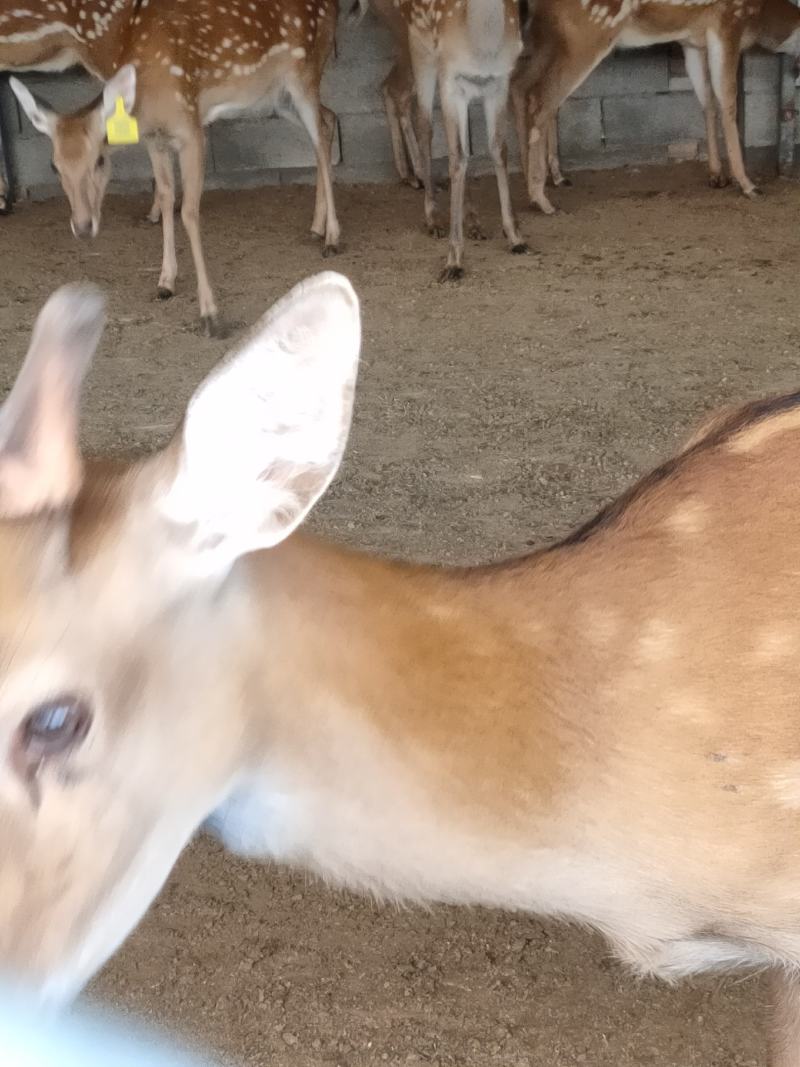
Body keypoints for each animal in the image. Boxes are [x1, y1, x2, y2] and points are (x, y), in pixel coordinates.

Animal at [7, 1, 341, 336]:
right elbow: (167, 196)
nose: (83, 226)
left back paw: (332, 237)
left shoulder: (191, 129)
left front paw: (209, 313)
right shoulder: (154, 140)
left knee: (321, 131)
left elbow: (189, 212)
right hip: (275, 97)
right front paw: (165, 281)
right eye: (54, 166)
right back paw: (317, 226)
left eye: (99, 160)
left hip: (305, 74)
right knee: (326, 122)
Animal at [356, 0, 528, 280]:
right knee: (424, 125)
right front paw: (453, 261)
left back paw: (473, 220)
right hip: (419, 49)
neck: (483, 46)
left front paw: (515, 237)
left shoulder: (500, 81)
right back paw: (433, 217)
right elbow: (456, 157)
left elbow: (497, 150)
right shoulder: (451, 79)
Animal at [511, 0, 800, 217]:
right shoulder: (728, 22)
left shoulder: (692, 41)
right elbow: (728, 100)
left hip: (547, 37)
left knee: (520, 83)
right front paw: (748, 184)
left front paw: (717, 176)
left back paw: (535, 181)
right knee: (541, 98)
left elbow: (707, 101)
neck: (761, 18)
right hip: (585, 33)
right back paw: (542, 198)